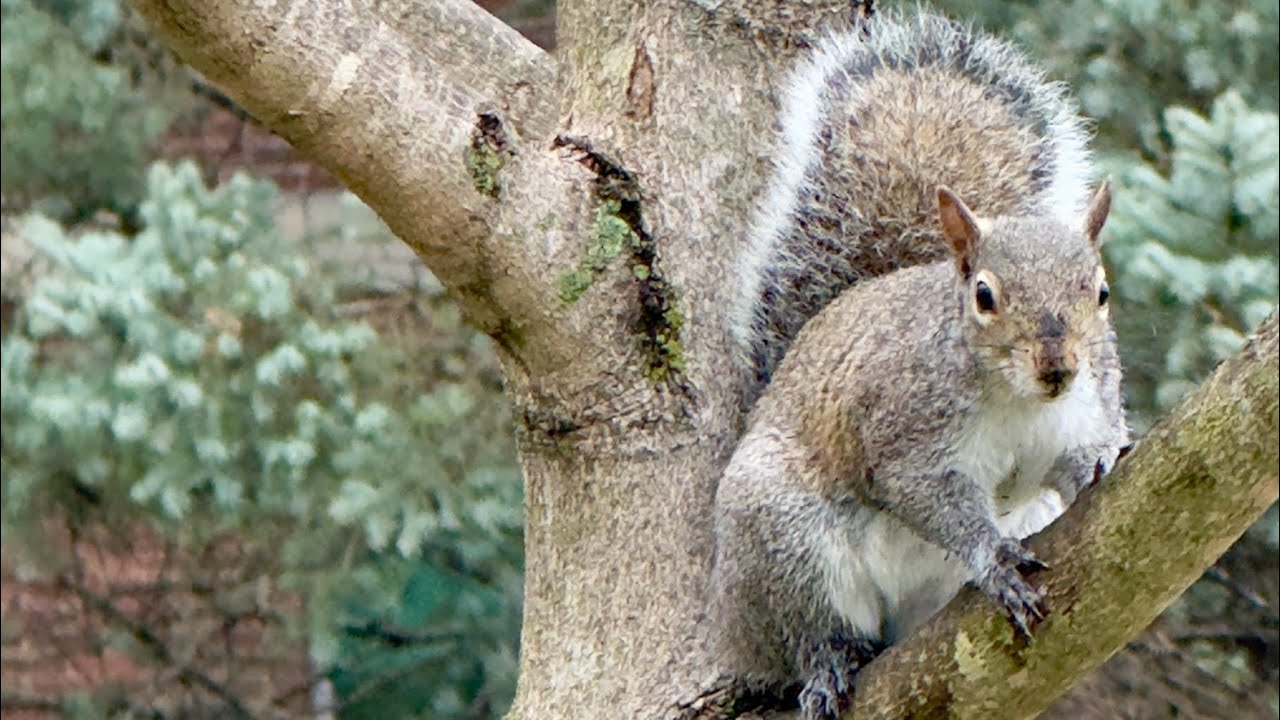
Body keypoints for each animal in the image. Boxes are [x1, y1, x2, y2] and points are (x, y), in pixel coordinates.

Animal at [709, 7, 1130, 719]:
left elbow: (1075, 456)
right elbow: (927, 494)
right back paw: (827, 665)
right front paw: (995, 558)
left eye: (1100, 293)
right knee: (808, 629)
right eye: (984, 296)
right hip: (780, 537)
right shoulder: (904, 430)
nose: (1058, 366)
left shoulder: (1086, 407)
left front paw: (1100, 464)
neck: (1019, 401)